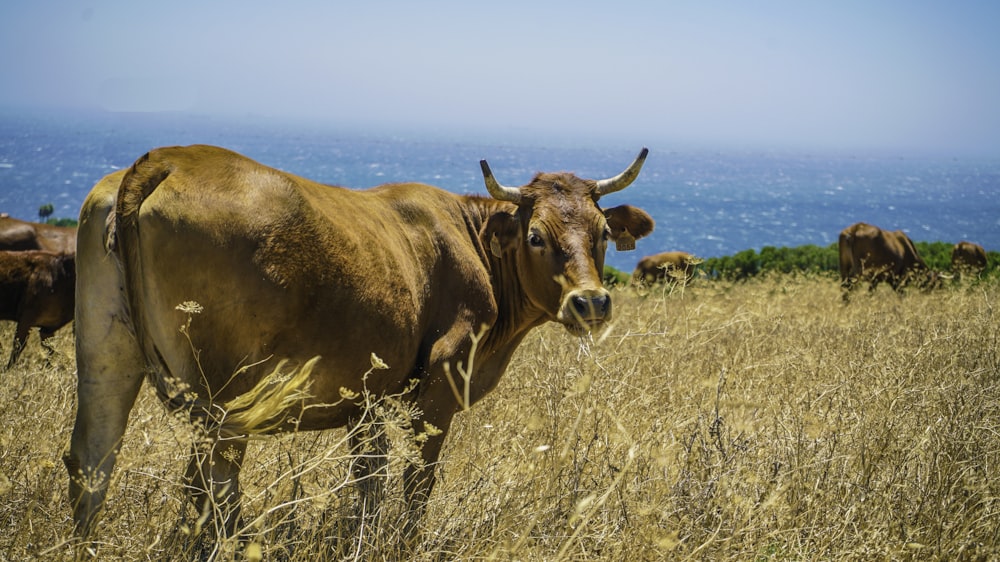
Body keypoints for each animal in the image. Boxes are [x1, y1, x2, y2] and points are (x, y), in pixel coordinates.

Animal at [62, 144, 656, 544]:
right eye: (536, 236)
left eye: (603, 233)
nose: (590, 302)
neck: (471, 242)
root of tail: (170, 158)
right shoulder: (437, 393)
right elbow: (416, 484)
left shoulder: (365, 401)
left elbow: (369, 482)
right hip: (224, 401)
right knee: (215, 486)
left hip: (106, 360)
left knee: (92, 463)